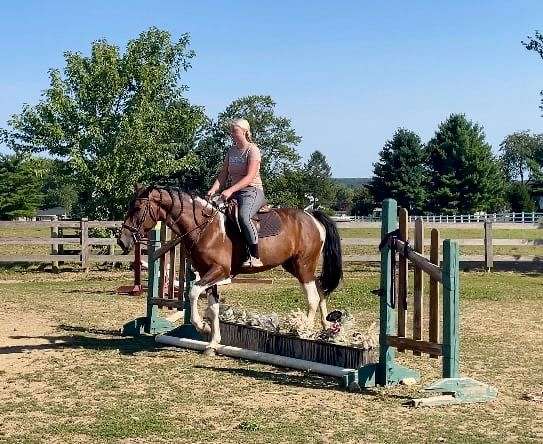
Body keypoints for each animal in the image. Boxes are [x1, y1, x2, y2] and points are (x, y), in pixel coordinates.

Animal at [118, 184, 344, 354]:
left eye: (137, 208)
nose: (122, 241)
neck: (204, 228)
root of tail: (311, 216)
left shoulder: (219, 271)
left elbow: (193, 292)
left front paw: (202, 326)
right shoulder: (207, 273)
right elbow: (213, 307)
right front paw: (212, 342)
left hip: (303, 265)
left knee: (312, 296)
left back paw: (303, 330)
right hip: (294, 266)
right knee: (320, 288)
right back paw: (327, 328)